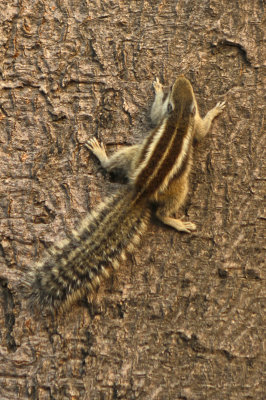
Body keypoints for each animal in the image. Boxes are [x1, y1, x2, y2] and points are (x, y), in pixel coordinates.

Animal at [26, 75, 225, 312]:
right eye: (176, 89)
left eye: (187, 89)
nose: (181, 77)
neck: (180, 118)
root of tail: (140, 192)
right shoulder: (182, 123)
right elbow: (189, 127)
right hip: (177, 186)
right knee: (161, 214)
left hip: (135, 156)